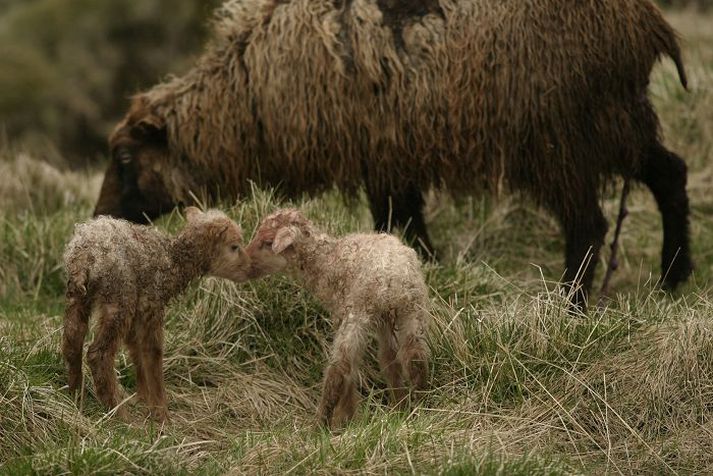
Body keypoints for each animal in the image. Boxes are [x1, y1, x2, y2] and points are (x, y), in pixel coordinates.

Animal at [61, 206, 250, 422]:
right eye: (234, 246)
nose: (250, 268)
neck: (173, 260)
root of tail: (85, 254)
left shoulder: (138, 313)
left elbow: (137, 350)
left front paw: (143, 398)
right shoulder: (151, 305)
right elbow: (153, 353)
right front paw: (161, 413)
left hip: (81, 297)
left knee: (72, 340)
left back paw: (76, 396)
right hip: (120, 297)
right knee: (98, 354)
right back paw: (119, 414)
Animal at [245, 208, 428, 428]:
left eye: (267, 241)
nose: (244, 260)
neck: (326, 261)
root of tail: (393, 276)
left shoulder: (343, 314)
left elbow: (353, 369)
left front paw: (346, 418)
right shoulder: (383, 319)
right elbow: (389, 360)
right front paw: (398, 407)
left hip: (356, 314)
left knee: (340, 368)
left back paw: (320, 425)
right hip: (411, 309)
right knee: (414, 357)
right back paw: (420, 407)